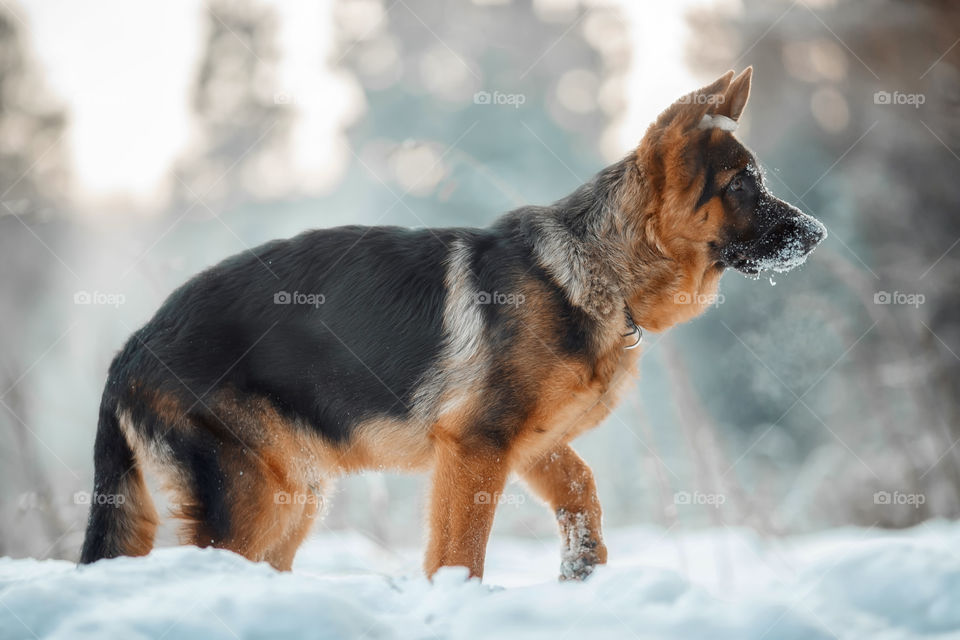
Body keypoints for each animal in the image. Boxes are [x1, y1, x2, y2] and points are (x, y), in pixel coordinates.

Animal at [80, 69, 824, 580]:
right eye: (741, 186)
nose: (818, 233)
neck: (593, 268)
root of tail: (129, 348)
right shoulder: (475, 447)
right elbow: (459, 551)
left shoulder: (530, 444)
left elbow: (582, 489)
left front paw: (582, 562)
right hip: (254, 494)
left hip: (295, 495)